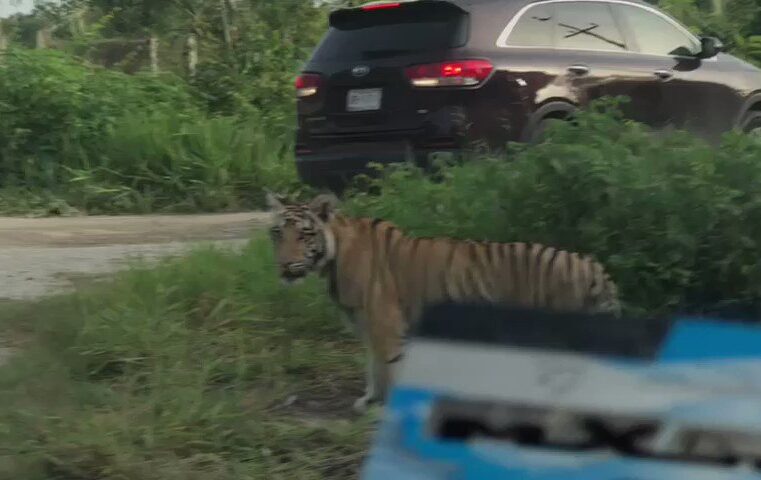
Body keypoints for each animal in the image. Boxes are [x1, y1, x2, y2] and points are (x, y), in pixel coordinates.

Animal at [265, 192, 621, 412]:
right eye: (277, 234)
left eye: (304, 235)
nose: (283, 265)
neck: (333, 256)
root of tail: (596, 268)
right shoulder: (366, 325)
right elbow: (372, 366)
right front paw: (369, 401)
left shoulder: (386, 324)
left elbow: (389, 368)